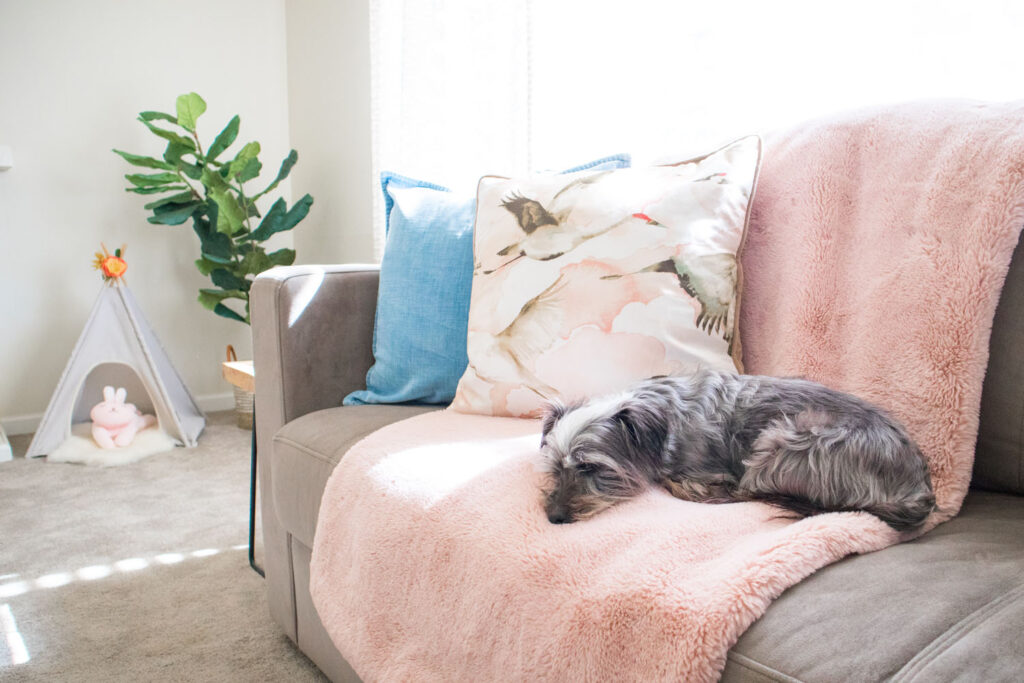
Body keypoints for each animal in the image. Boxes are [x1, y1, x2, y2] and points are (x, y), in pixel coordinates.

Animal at [544, 370, 937, 532]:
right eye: (555, 468)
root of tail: (919, 487)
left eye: (592, 468)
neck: (660, 415)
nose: (554, 517)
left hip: (785, 440)